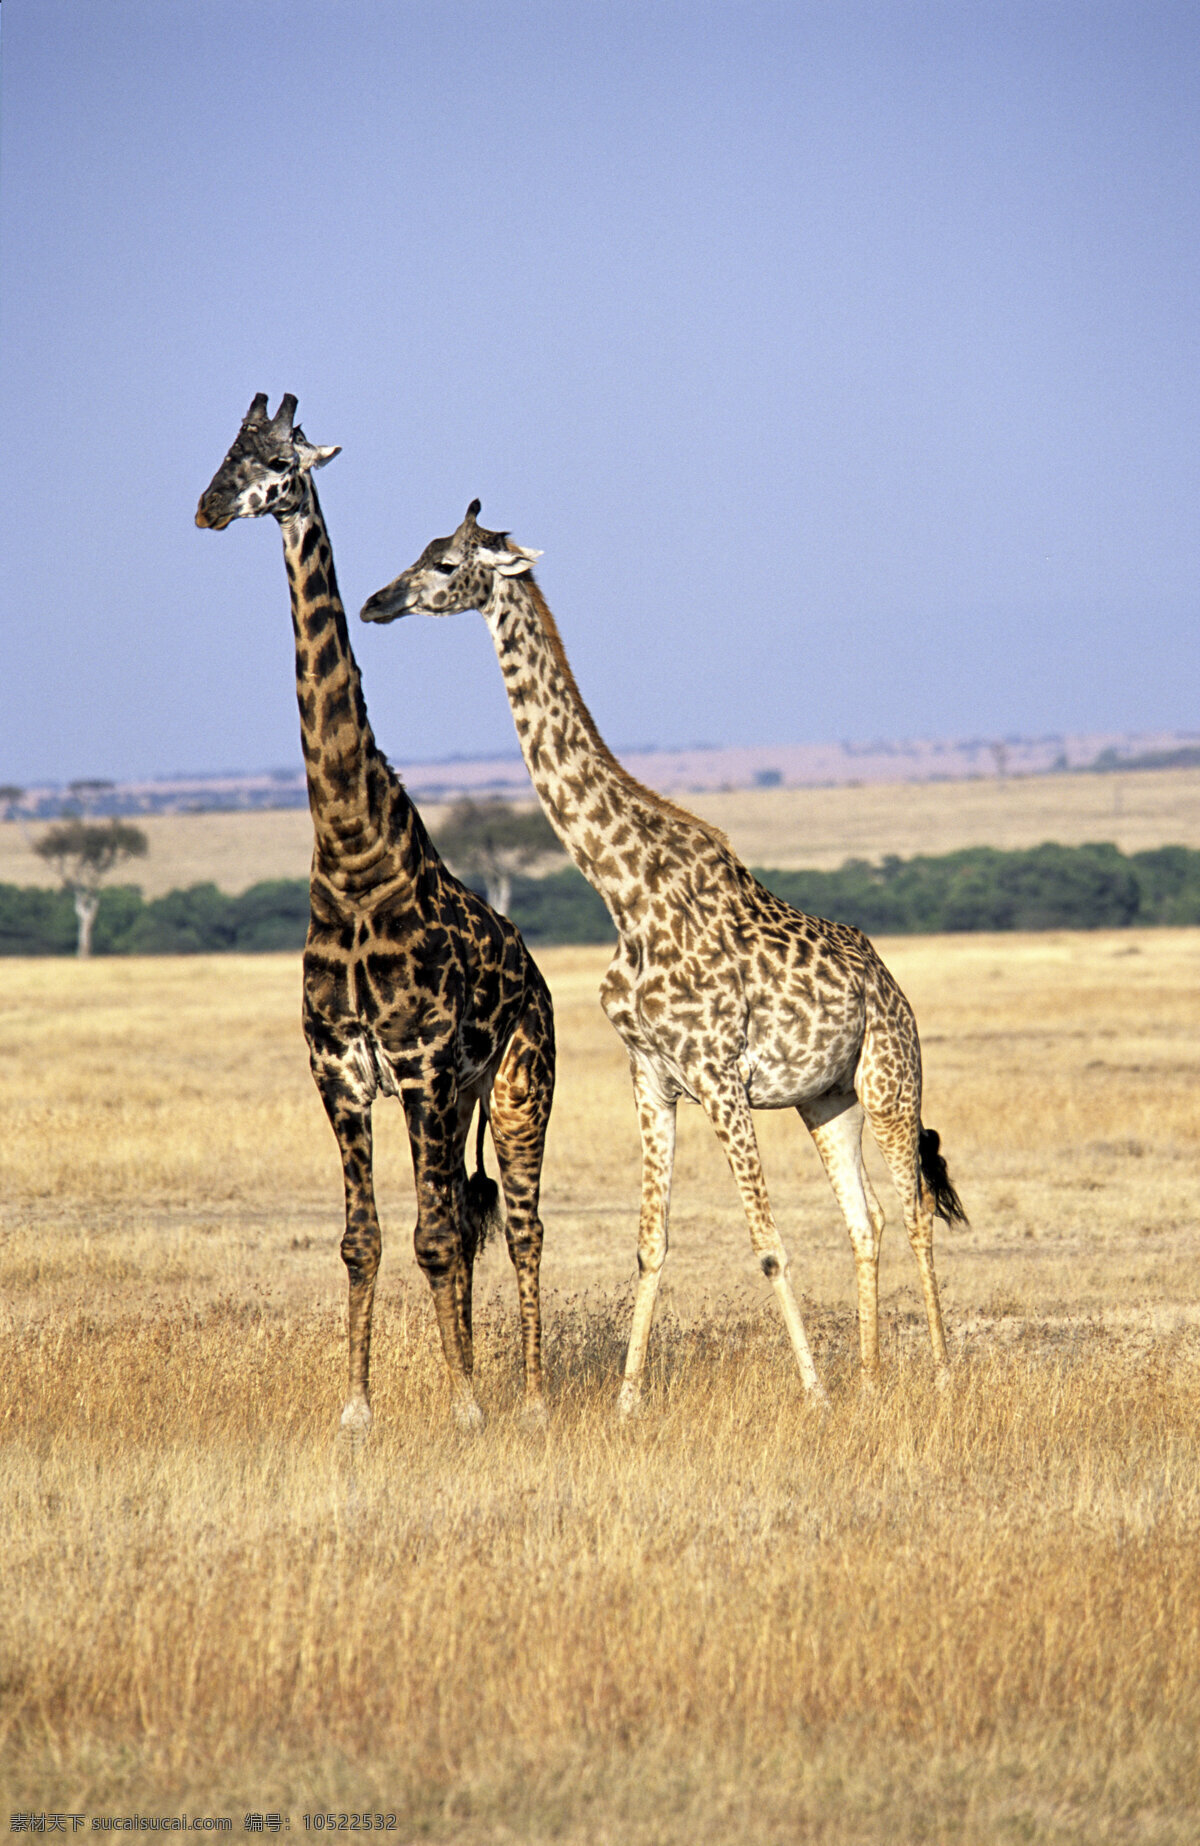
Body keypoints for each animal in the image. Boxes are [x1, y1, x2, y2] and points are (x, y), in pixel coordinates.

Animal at [194, 411, 550, 1432]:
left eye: (278, 464)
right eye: (222, 457)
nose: (208, 508)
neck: (353, 857)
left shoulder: (422, 1064)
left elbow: (431, 1236)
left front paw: (466, 1404)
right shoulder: (339, 1072)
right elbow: (365, 1239)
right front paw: (359, 1408)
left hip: (516, 1087)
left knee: (518, 1226)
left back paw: (529, 1397)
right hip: (459, 1098)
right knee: (465, 1216)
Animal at [360, 505, 960, 1410]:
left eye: (447, 563)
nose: (376, 602)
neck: (624, 893)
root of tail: (890, 987)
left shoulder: (718, 1076)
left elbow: (768, 1242)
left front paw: (811, 1394)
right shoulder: (651, 1075)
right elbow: (651, 1241)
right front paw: (627, 1399)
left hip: (891, 1078)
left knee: (916, 1209)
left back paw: (940, 1379)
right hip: (826, 1097)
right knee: (869, 1219)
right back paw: (868, 1380)